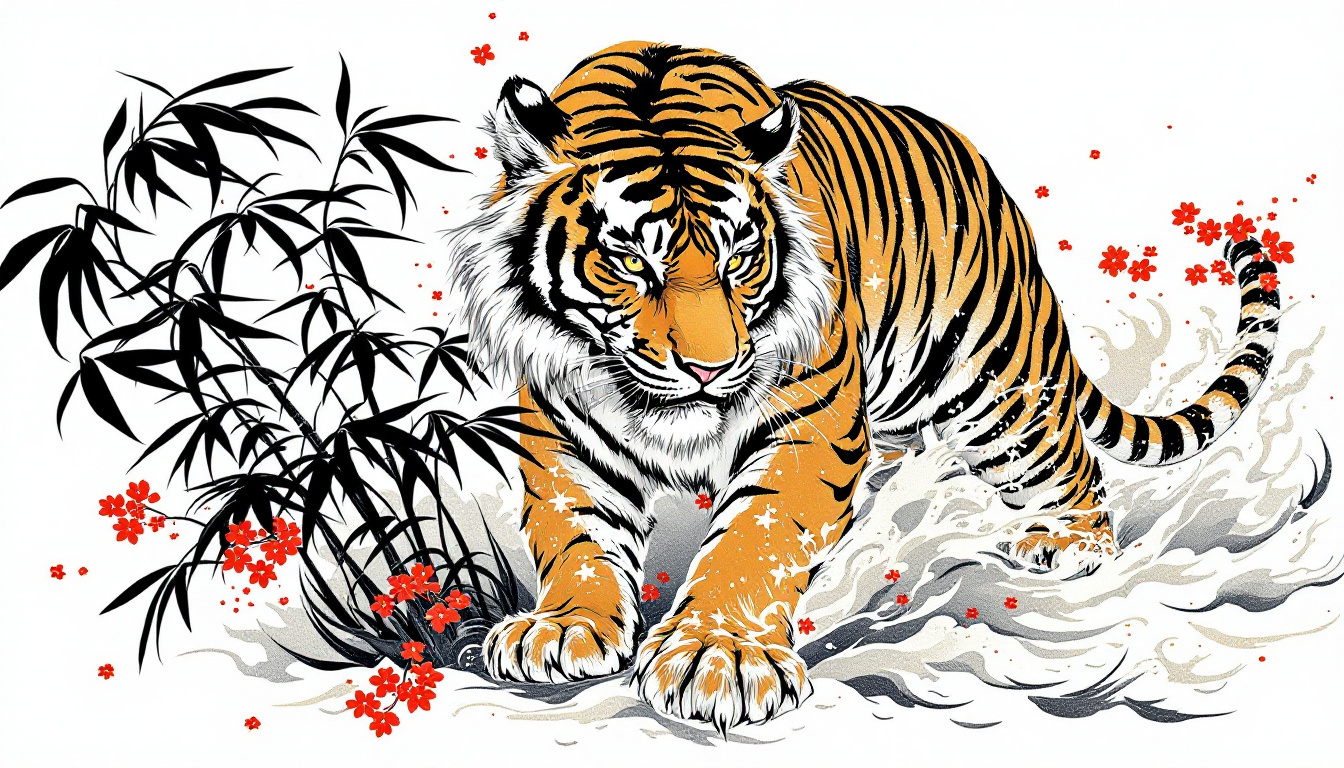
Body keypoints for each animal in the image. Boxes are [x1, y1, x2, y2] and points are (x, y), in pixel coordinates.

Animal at [444, 41, 1280, 732]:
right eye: (627, 262)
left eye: (739, 258)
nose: (711, 368)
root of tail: (989, 179)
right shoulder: (564, 436)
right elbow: (578, 536)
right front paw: (563, 627)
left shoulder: (809, 423)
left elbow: (755, 535)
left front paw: (721, 655)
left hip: (998, 386)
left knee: (1069, 464)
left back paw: (1067, 545)